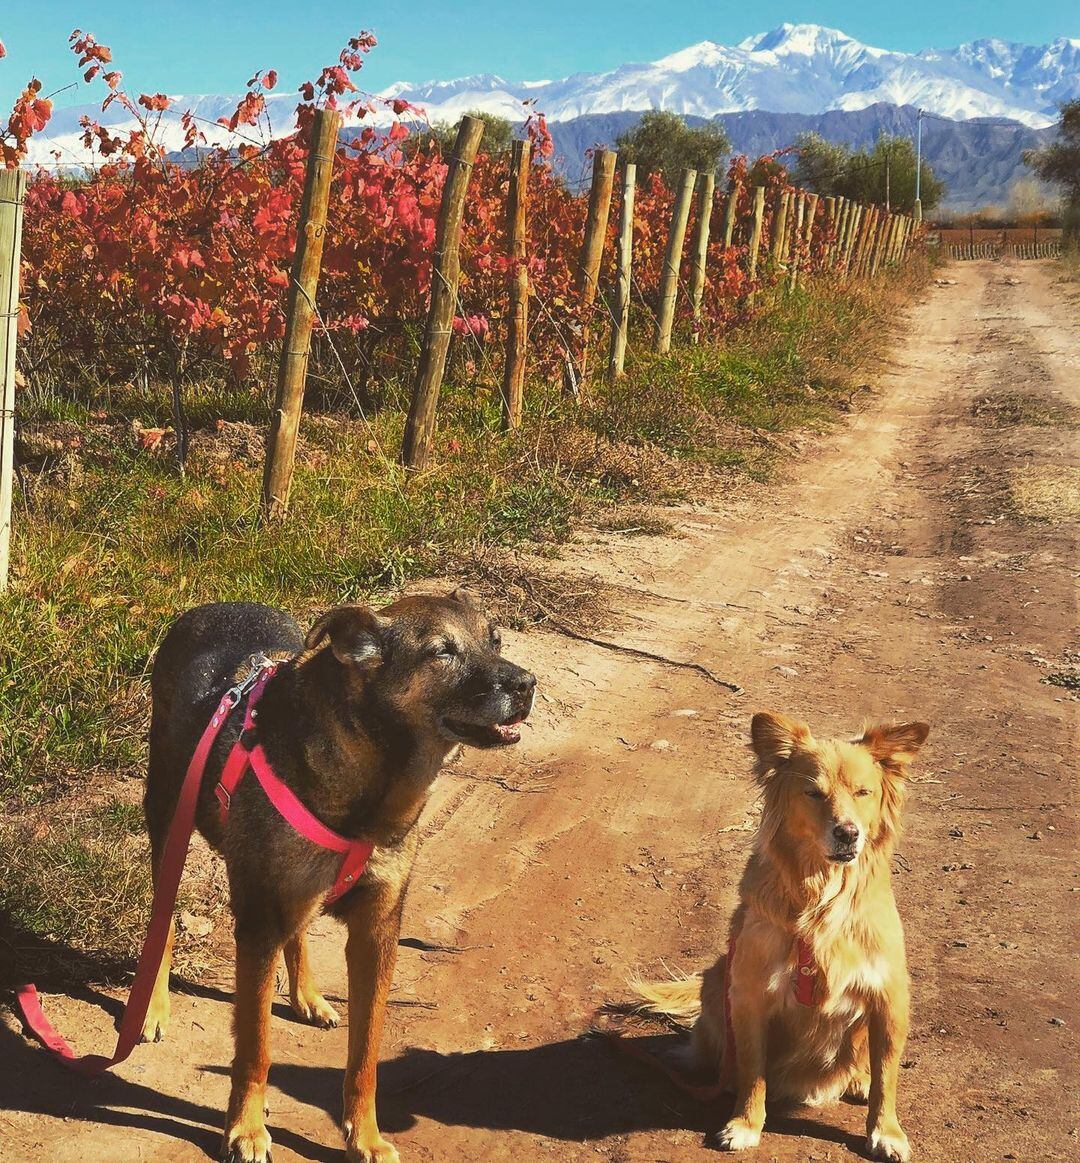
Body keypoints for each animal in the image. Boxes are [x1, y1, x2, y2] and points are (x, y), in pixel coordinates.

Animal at [138, 595, 534, 1158]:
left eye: (495, 640)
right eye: (441, 651)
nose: (527, 684)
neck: (374, 779)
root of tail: (214, 605)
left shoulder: (376, 934)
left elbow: (365, 1057)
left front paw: (365, 1136)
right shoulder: (258, 924)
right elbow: (254, 1049)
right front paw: (247, 1129)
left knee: (299, 929)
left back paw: (307, 995)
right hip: (169, 818)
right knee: (165, 920)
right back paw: (153, 1007)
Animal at [632, 711, 925, 1158]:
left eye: (864, 792)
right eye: (813, 794)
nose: (848, 833)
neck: (822, 900)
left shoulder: (888, 998)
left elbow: (886, 1076)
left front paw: (886, 1131)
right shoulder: (750, 993)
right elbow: (754, 1071)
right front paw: (745, 1123)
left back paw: (858, 1079)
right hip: (719, 979)